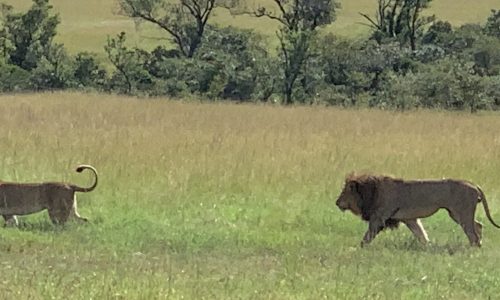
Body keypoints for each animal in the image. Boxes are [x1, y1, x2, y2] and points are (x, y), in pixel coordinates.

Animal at [336, 173, 500, 246]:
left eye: (344, 192)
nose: (337, 203)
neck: (372, 190)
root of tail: (473, 184)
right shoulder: (409, 219)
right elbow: (420, 233)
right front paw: (427, 246)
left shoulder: (379, 218)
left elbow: (367, 237)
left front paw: (360, 248)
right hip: (456, 214)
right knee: (479, 226)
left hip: (461, 213)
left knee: (472, 233)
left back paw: (473, 249)